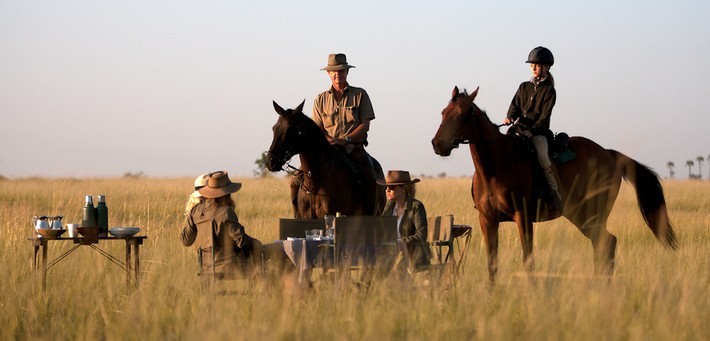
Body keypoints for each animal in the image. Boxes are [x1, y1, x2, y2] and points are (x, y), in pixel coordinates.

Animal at [434, 87, 680, 282]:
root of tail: (609, 155)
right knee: (604, 243)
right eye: (443, 113)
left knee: (605, 244)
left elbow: (528, 259)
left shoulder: (523, 217)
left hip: (592, 213)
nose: (437, 144)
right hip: (580, 215)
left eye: (462, 115)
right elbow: (492, 263)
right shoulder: (487, 220)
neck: (496, 166)